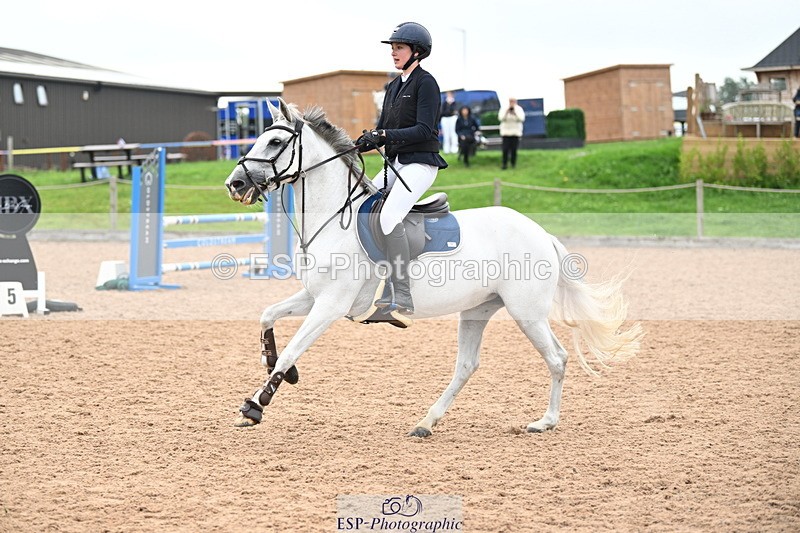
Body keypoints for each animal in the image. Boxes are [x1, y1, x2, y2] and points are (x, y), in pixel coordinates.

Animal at [224, 98, 643, 437]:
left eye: (275, 143)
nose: (235, 183)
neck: (333, 219)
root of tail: (540, 233)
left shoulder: (331, 304)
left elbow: (294, 348)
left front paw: (255, 405)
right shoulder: (315, 296)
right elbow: (267, 316)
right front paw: (276, 366)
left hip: (527, 312)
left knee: (556, 358)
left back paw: (546, 422)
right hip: (477, 310)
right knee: (467, 365)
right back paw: (427, 422)